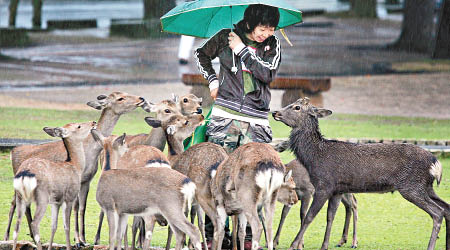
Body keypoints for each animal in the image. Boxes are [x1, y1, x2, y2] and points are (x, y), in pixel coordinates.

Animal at [12, 121, 96, 250]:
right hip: (42, 197)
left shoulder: (56, 202)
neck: (75, 166)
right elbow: (66, 226)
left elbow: (54, 226)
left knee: (17, 227)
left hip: (20, 197)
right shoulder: (69, 197)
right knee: (34, 223)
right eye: (78, 126)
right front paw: (71, 245)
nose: (93, 122)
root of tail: (24, 174)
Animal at [272, 97, 448, 250]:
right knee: (447, 208)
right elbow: (330, 217)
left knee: (437, 213)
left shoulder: (324, 186)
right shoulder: (337, 190)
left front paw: (294, 245)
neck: (314, 157)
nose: (275, 112)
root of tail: (435, 162)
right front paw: (324, 246)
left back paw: (430, 246)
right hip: (427, 187)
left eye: (297, 107)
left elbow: (308, 216)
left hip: (412, 187)